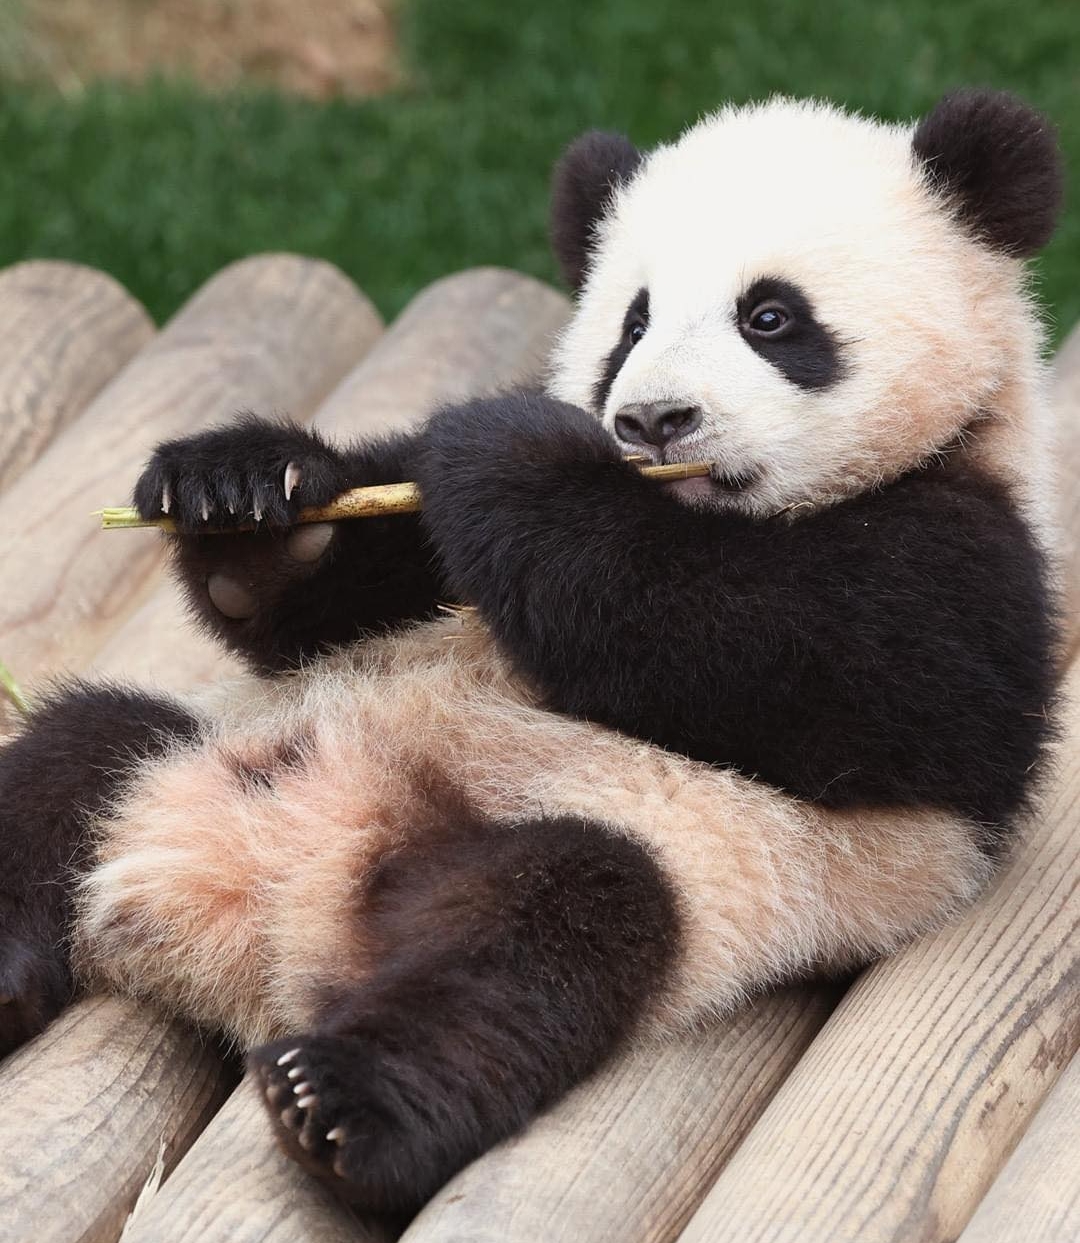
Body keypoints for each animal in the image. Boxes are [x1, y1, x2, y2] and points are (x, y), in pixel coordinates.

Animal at [0, 91, 1063, 1218]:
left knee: (541, 939)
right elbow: (336, 586)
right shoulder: (406, 582)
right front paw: (245, 490)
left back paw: (339, 1104)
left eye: (770, 318)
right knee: (76, 748)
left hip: (676, 863)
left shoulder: (975, 562)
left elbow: (796, 660)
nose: (651, 419)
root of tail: (248, 932)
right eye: (632, 322)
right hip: (211, 735)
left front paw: (511, 458)